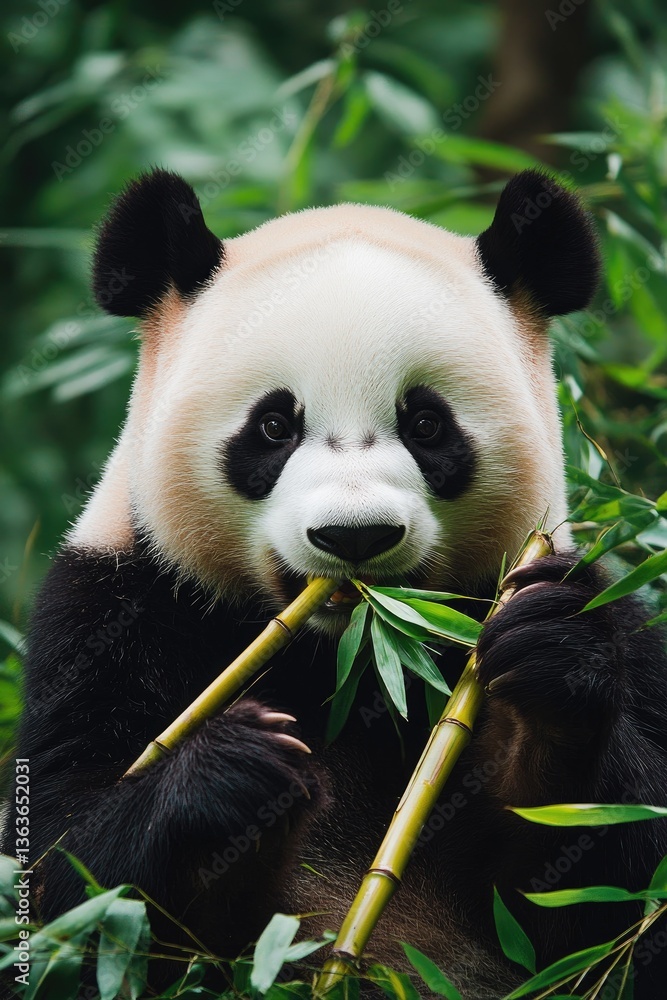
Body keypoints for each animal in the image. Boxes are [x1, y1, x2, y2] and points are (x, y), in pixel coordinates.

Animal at [7, 168, 667, 999]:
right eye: (272, 427)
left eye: (425, 424)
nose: (355, 536)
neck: (350, 661)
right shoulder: (113, 610)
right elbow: (72, 882)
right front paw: (239, 775)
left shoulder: (612, 619)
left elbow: (605, 894)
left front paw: (550, 656)